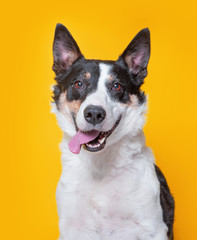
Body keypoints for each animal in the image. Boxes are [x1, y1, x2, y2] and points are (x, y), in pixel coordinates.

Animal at [51, 23, 175, 240]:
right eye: (78, 84)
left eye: (116, 86)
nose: (94, 113)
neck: (100, 165)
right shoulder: (71, 229)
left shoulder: (154, 229)